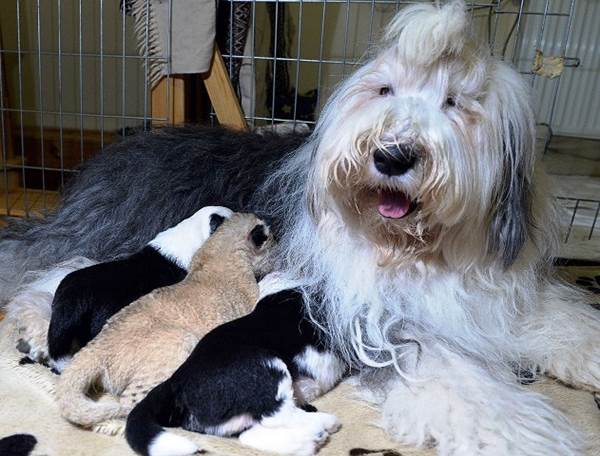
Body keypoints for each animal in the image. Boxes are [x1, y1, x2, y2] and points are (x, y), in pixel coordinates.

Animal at [56, 214, 272, 428]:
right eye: (271, 238)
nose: (277, 243)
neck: (220, 247)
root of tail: (94, 348)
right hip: (178, 345)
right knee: (130, 403)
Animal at [125, 288, 346, 456]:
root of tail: (175, 380)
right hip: (266, 365)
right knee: (277, 414)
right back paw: (323, 425)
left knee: (250, 433)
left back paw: (309, 441)